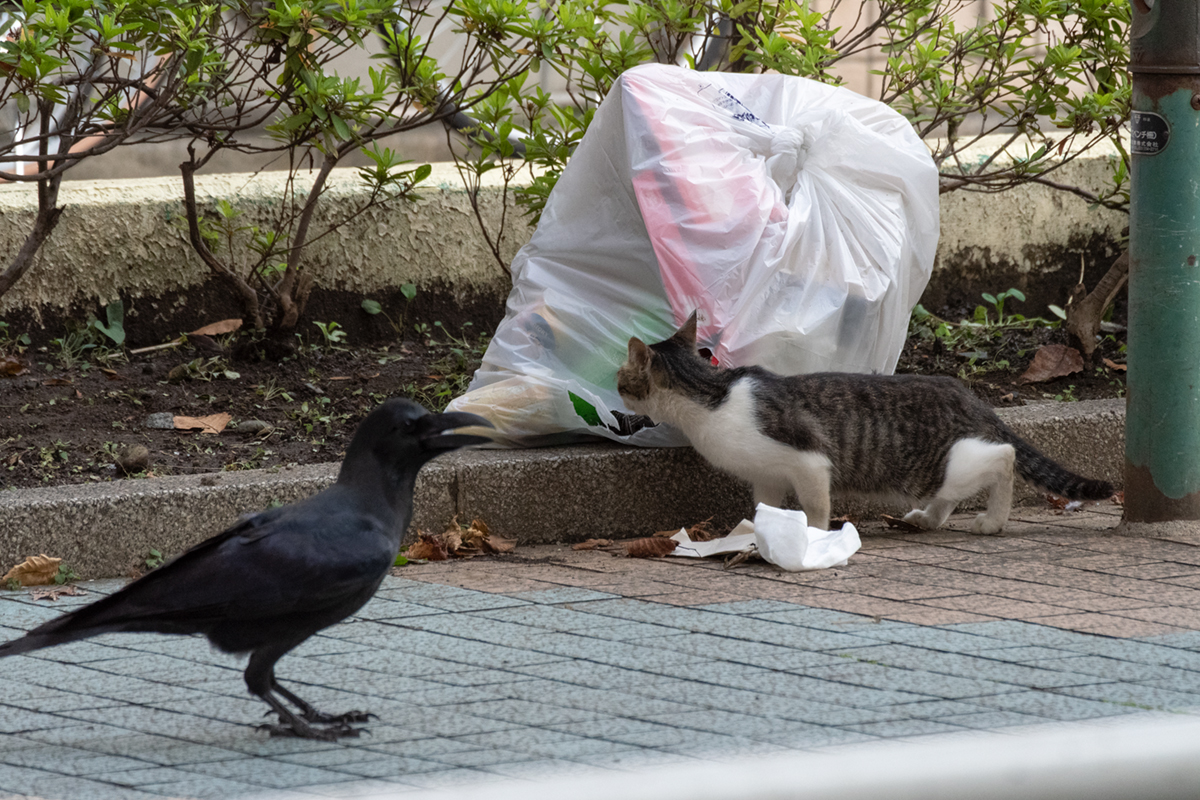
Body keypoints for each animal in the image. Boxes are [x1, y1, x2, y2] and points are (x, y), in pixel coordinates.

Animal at [619, 311, 1113, 532]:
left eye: (621, 377)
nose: (614, 384)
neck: (712, 396)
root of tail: (966, 394)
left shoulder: (809, 460)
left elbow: (816, 505)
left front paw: (814, 538)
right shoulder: (768, 474)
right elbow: (766, 506)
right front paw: (761, 533)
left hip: (935, 467)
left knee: (1005, 456)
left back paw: (992, 520)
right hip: (942, 470)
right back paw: (929, 518)